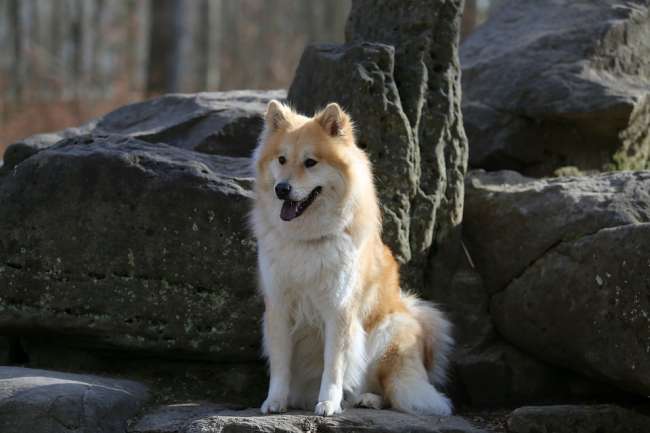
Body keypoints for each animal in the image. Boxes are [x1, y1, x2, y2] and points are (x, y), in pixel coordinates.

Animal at [251, 98, 454, 416]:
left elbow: (334, 365)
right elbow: (280, 364)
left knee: (387, 388)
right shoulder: (279, 307)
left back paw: (366, 399)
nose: (281, 189)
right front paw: (276, 401)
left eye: (310, 162)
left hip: (387, 332)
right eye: (281, 160)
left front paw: (328, 403)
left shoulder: (339, 310)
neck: (307, 239)